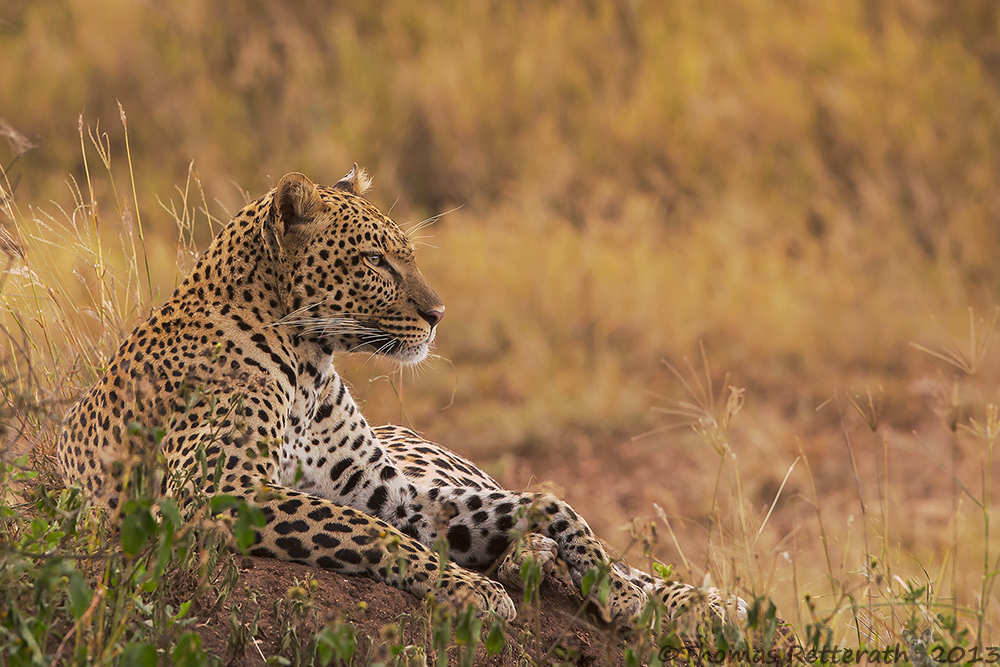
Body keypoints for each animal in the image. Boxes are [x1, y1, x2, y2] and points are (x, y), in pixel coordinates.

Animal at [54, 164, 744, 628]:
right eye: (376, 263)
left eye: (406, 256)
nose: (439, 314)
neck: (308, 366)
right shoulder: (223, 489)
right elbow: (368, 532)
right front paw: (473, 590)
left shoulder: (393, 492)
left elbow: (551, 502)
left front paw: (619, 592)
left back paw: (696, 602)